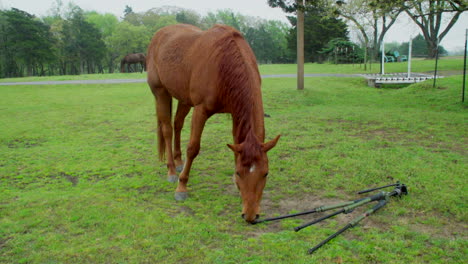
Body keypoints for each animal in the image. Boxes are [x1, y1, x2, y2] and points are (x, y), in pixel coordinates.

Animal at [147, 24, 278, 223]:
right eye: (239, 173)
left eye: (266, 173)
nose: (250, 216)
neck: (224, 63)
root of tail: (160, 34)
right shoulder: (201, 110)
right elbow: (193, 148)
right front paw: (181, 187)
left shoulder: (235, 113)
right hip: (161, 92)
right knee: (167, 130)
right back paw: (171, 171)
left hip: (184, 99)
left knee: (177, 125)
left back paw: (178, 162)